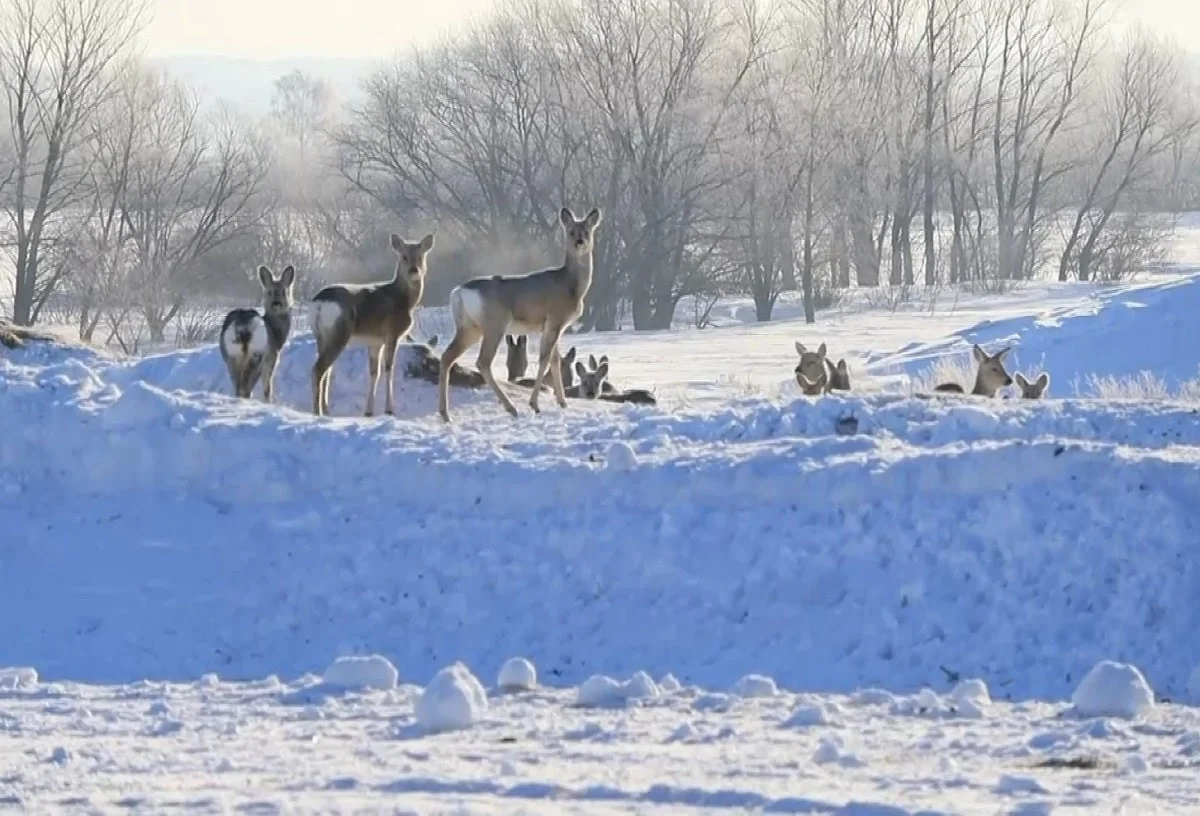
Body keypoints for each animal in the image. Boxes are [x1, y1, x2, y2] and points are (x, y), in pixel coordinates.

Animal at [216, 262, 292, 400]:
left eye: (284, 292)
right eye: (269, 292)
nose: (276, 303)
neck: (276, 334)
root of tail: (243, 327)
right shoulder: (271, 360)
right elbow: (268, 389)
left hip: (231, 357)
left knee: (238, 387)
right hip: (257, 356)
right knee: (246, 389)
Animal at [309, 232, 436, 417]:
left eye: (420, 256)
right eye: (404, 257)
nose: (414, 271)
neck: (404, 300)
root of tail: (319, 303)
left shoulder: (375, 341)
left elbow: (374, 372)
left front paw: (368, 411)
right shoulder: (392, 333)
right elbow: (389, 368)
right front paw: (389, 409)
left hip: (322, 336)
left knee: (326, 370)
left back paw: (325, 410)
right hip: (340, 332)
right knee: (318, 369)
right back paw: (317, 412)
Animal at [439, 205, 600, 420]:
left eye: (587, 231)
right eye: (571, 231)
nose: (580, 242)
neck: (572, 286)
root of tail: (458, 292)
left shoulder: (550, 326)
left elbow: (555, 360)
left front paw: (563, 403)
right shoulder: (555, 319)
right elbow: (544, 359)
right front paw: (535, 404)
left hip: (469, 327)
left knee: (447, 356)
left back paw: (445, 414)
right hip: (495, 324)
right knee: (483, 361)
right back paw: (511, 408)